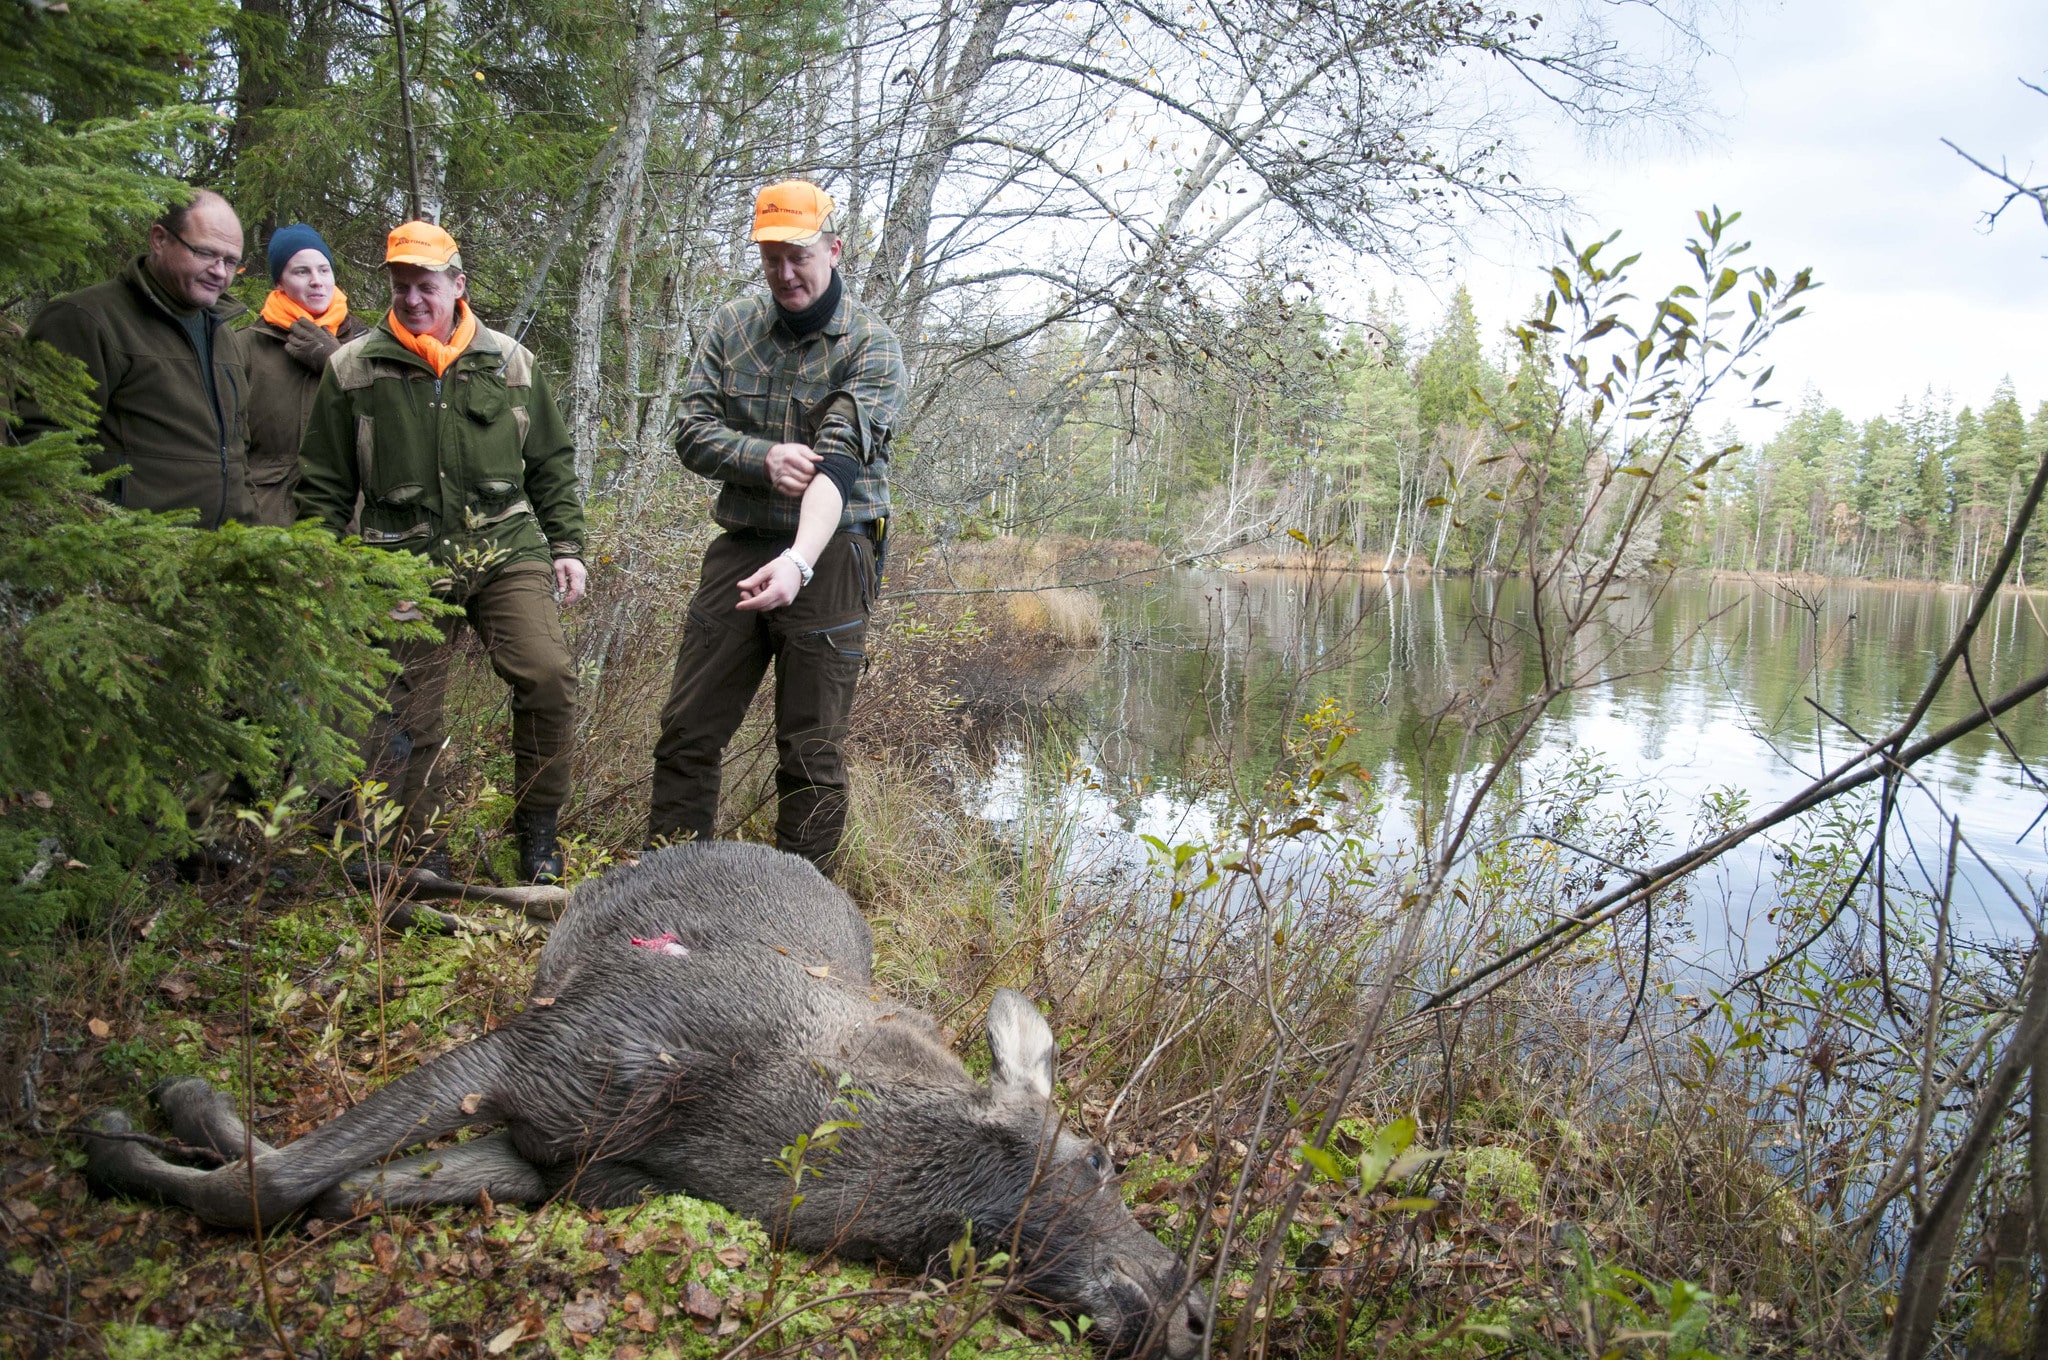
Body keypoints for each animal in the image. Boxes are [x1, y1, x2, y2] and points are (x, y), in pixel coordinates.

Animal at [83, 843, 1196, 1351]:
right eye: (1098, 1157)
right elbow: (269, 1187)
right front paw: (137, 1129)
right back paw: (387, 881)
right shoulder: (531, 1051)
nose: (1188, 1306)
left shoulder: (563, 1160)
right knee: (515, 886)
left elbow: (331, 1187)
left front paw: (185, 1128)